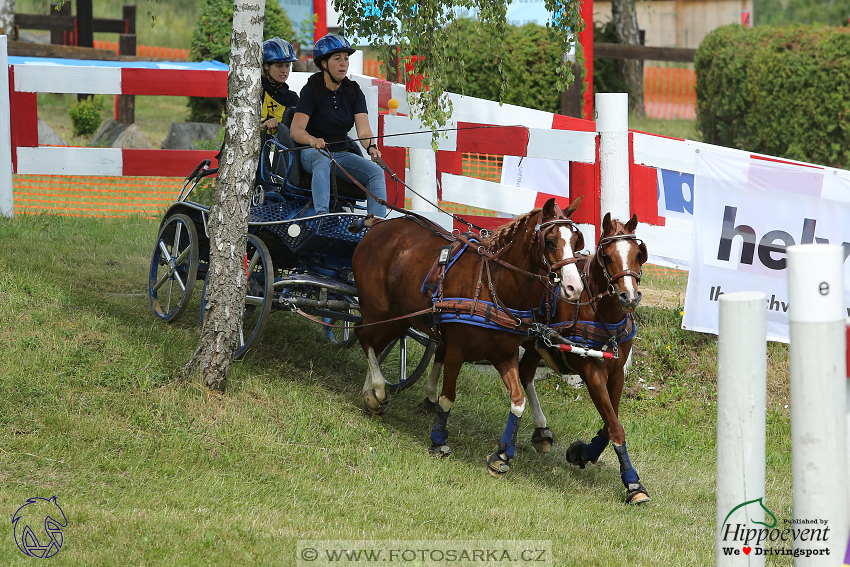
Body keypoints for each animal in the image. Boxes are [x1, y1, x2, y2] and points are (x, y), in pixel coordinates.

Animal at [352, 197, 584, 472]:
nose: (575, 287)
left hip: (402, 316)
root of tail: (380, 225)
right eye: (549, 240)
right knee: (363, 335)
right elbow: (447, 398)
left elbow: (518, 401)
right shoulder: (456, 350)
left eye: (576, 240)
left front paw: (502, 454)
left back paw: (370, 394)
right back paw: (376, 389)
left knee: (377, 344)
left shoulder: (505, 355)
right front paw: (439, 441)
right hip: (377, 307)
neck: (493, 286)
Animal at [512, 214, 652, 506]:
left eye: (638, 254)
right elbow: (615, 426)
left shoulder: (617, 372)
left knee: (525, 373)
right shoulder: (591, 373)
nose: (629, 296)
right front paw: (633, 483)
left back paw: (542, 430)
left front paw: (584, 452)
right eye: (607, 256)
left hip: (535, 345)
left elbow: (610, 422)